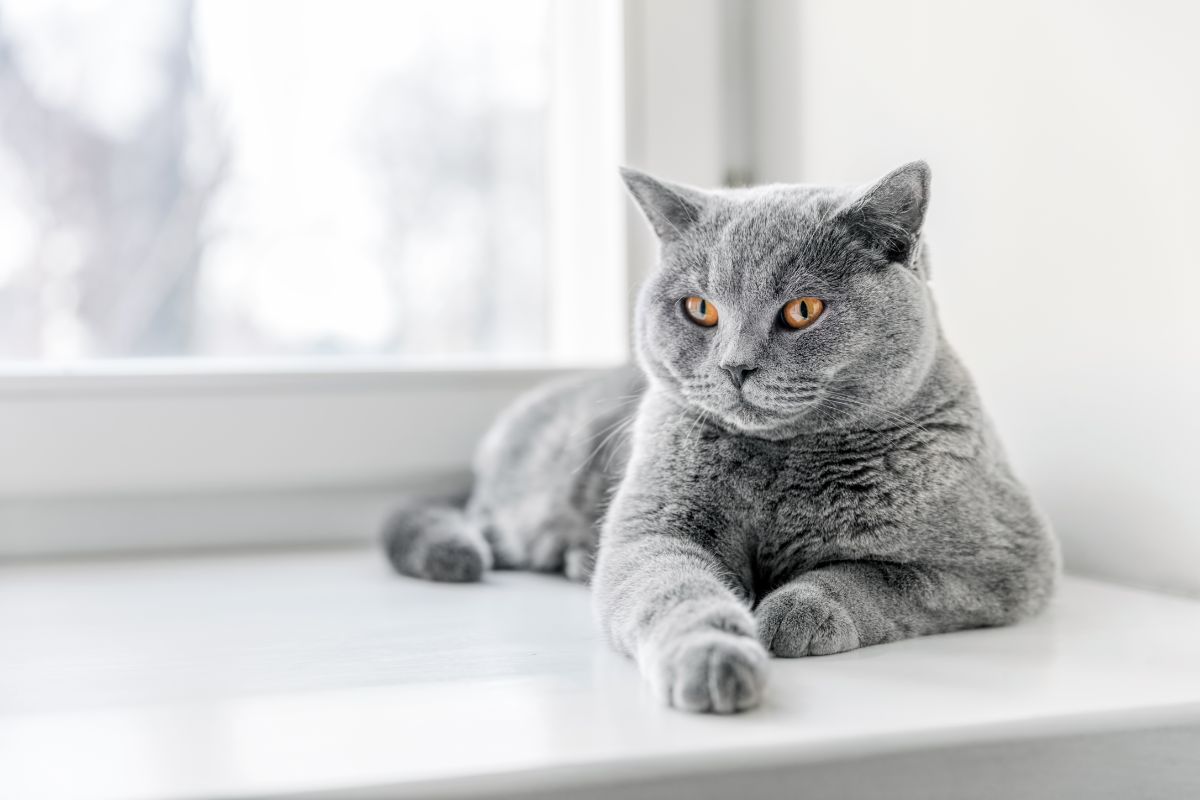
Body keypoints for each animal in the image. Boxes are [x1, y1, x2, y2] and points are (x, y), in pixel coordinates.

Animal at [384, 160, 1060, 714]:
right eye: (700, 309)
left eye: (803, 310)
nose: (735, 366)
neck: (783, 465)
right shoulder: (653, 530)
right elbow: (675, 591)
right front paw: (715, 658)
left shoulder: (1002, 564)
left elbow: (878, 577)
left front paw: (791, 611)